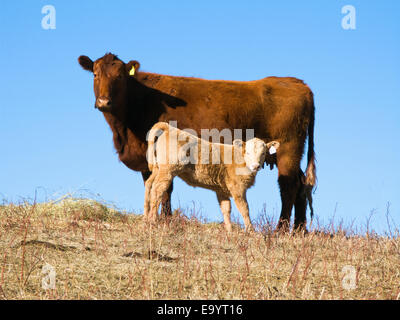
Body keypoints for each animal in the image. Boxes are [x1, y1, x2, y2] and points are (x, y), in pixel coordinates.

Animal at [77, 53, 316, 232]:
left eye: (120, 77)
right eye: (96, 74)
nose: (104, 102)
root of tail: (298, 83)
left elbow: (166, 189)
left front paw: (165, 219)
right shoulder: (150, 162)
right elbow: (155, 187)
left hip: (288, 149)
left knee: (288, 185)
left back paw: (281, 230)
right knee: (301, 184)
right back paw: (299, 230)